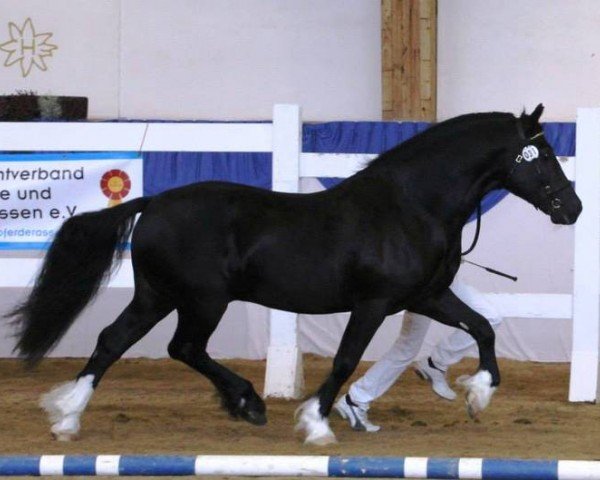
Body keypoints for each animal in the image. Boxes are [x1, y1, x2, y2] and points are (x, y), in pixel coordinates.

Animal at [5, 104, 580, 442]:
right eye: (542, 154)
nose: (572, 208)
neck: (411, 206)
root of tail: (155, 202)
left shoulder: (425, 296)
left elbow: (482, 327)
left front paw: (478, 393)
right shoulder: (373, 304)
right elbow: (346, 359)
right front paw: (316, 421)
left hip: (156, 295)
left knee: (112, 341)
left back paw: (68, 416)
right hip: (203, 300)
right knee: (182, 348)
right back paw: (246, 402)